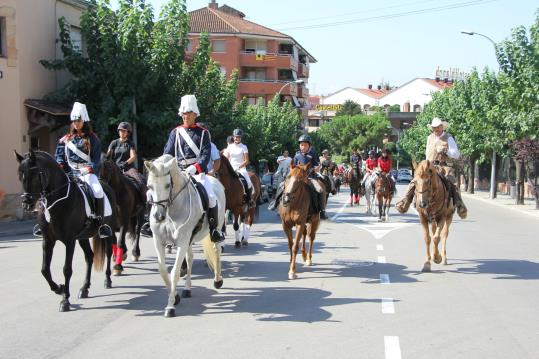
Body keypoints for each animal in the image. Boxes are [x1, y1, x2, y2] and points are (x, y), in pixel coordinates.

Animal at [14, 149, 117, 312]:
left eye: (35, 175)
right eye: (20, 175)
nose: (26, 205)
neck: (57, 200)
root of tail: (106, 184)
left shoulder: (69, 241)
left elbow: (67, 269)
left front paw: (65, 300)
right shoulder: (48, 240)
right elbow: (44, 270)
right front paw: (59, 289)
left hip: (108, 230)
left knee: (108, 252)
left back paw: (107, 280)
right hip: (83, 237)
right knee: (89, 257)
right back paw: (85, 288)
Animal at [144, 155, 225, 318]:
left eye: (168, 185)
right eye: (149, 186)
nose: (159, 216)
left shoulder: (182, 241)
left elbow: (174, 271)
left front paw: (170, 306)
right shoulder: (159, 240)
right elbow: (163, 270)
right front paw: (175, 297)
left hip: (215, 230)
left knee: (216, 252)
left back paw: (217, 280)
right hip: (189, 239)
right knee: (190, 258)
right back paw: (187, 288)